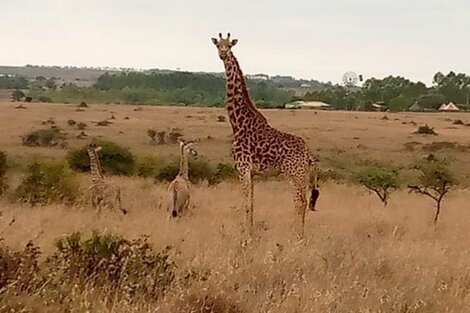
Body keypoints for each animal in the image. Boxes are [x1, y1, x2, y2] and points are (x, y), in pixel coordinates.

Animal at [212, 33, 320, 238]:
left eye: (229, 45)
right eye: (217, 45)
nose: (222, 54)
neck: (238, 123)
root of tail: (308, 154)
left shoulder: (243, 167)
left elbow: (246, 203)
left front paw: (245, 238)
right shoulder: (252, 172)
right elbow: (252, 203)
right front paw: (251, 234)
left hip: (293, 174)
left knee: (299, 201)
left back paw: (296, 238)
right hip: (303, 175)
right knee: (304, 202)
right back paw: (301, 236)